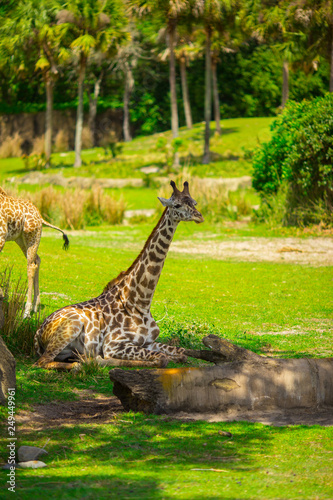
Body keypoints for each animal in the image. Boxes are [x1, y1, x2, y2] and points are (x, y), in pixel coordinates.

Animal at [0, 186, 68, 318]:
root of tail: (40, 217)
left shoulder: (1, 236)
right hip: (20, 239)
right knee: (37, 260)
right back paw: (36, 307)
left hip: (31, 237)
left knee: (31, 265)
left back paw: (27, 312)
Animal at [34, 182, 205, 370]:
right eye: (177, 205)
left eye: (194, 202)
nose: (199, 216)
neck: (141, 302)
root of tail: (38, 331)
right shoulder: (114, 344)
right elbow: (162, 358)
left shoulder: (149, 342)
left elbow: (181, 353)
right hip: (73, 326)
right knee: (42, 362)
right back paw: (84, 364)